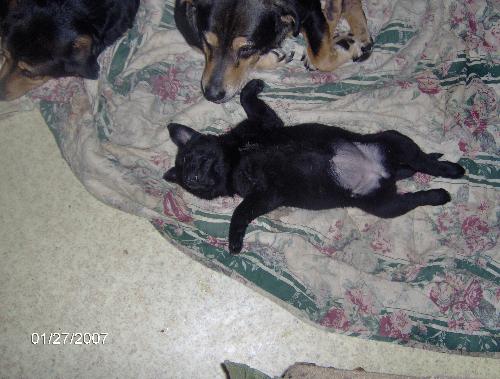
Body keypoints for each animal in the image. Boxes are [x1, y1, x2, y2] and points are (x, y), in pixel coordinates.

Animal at [164, 79, 464, 255]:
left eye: (191, 157)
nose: (192, 177)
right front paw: (235, 238)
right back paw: (438, 192)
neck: (237, 156)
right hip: (384, 205)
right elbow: (241, 211)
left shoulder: (266, 124)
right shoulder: (264, 195)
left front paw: (251, 86)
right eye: (188, 184)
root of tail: (384, 174)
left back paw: (451, 172)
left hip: (393, 140)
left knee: (423, 161)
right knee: (413, 194)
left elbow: (247, 101)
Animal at [174, 0, 374, 102]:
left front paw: (347, 46)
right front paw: (277, 55)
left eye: (247, 48)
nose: (212, 95)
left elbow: (322, 57)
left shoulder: (310, 10)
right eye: (207, 42)